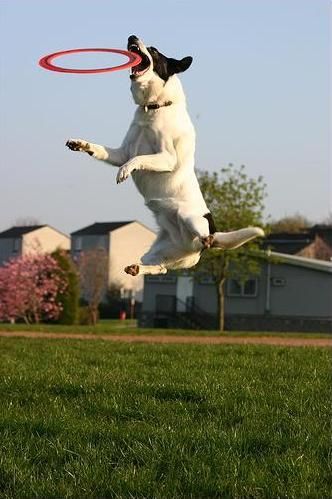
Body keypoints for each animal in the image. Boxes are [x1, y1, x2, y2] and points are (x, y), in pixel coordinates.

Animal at [67, 35, 264, 278]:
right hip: (159, 250)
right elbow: (101, 150)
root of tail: (196, 243)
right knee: (160, 268)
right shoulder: (121, 153)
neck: (152, 107)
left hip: (189, 216)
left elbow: (137, 160)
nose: (132, 36)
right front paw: (79, 143)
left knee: (202, 236)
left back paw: (207, 238)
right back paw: (136, 268)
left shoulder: (165, 157)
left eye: (153, 50)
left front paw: (125, 171)